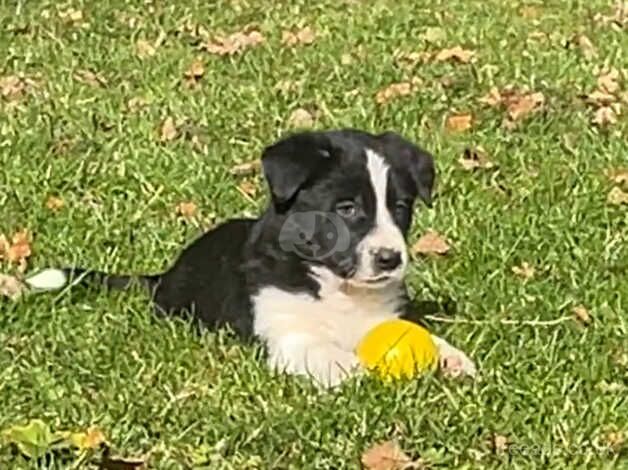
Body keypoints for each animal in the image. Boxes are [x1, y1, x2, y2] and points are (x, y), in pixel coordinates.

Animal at [24, 127, 476, 386]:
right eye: (346, 208)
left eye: (400, 207)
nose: (390, 259)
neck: (336, 288)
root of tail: (165, 275)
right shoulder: (284, 334)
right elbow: (317, 349)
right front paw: (351, 371)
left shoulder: (382, 316)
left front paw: (452, 359)